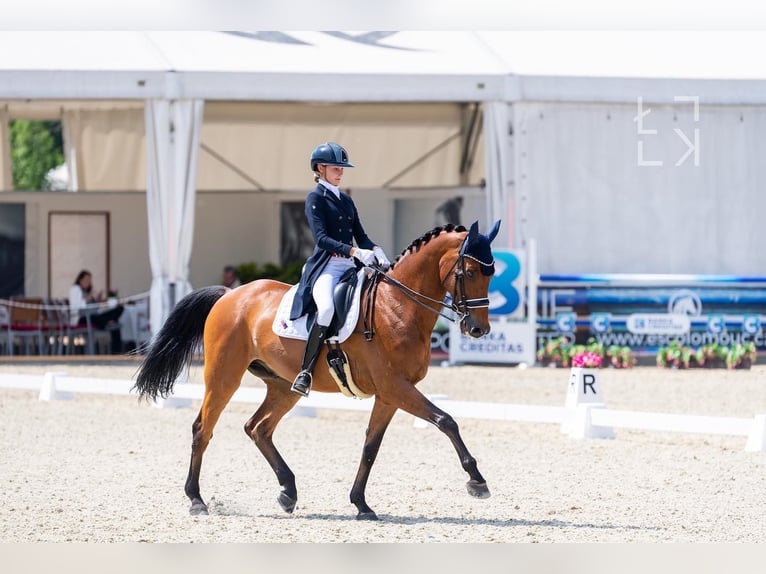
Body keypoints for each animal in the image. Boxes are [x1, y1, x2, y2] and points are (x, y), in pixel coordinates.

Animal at [134, 220, 500, 520]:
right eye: (469, 273)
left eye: (491, 274)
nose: (478, 330)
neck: (397, 306)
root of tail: (231, 294)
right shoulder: (395, 386)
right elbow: (446, 421)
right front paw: (477, 482)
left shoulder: (389, 394)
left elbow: (371, 447)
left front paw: (361, 504)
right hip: (223, 377)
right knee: (203, 429)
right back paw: (196, 500)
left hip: (282, 386)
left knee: (258, 428)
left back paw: (288, 493)